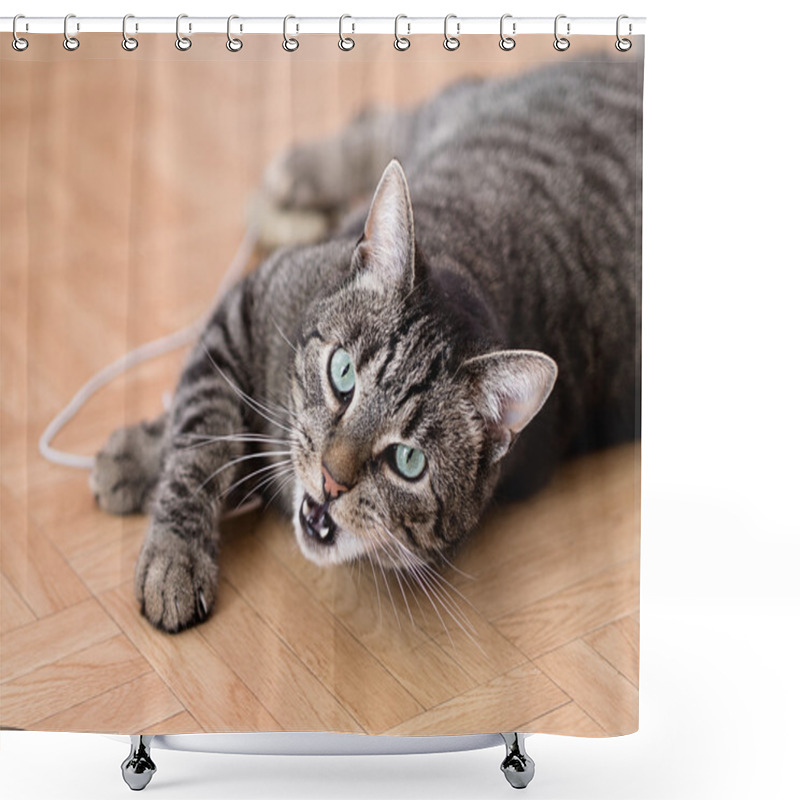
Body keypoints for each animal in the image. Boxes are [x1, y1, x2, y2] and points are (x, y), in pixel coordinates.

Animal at [90, 57, 644, 632]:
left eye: (408, 460)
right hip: (456, 110)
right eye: (342, 374)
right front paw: (171, 540)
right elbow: (205, 435)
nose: (331, 481)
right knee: (384, 117)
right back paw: (302, 169)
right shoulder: (250, 300)